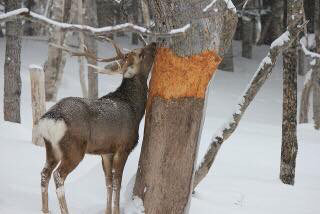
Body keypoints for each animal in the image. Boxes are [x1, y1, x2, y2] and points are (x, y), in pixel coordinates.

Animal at [36, 40, 156, 214]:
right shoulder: (123, 147)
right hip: (74, 149)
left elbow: (108, 182)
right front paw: (116, 211)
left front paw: (107, 211)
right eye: (140, 53)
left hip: (51, 148)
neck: (135, 110)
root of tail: (50, 119)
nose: (154, 43)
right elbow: (117, 183)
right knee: (58, 175)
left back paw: (45, 210)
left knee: (45, 173)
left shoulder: (106, 152)